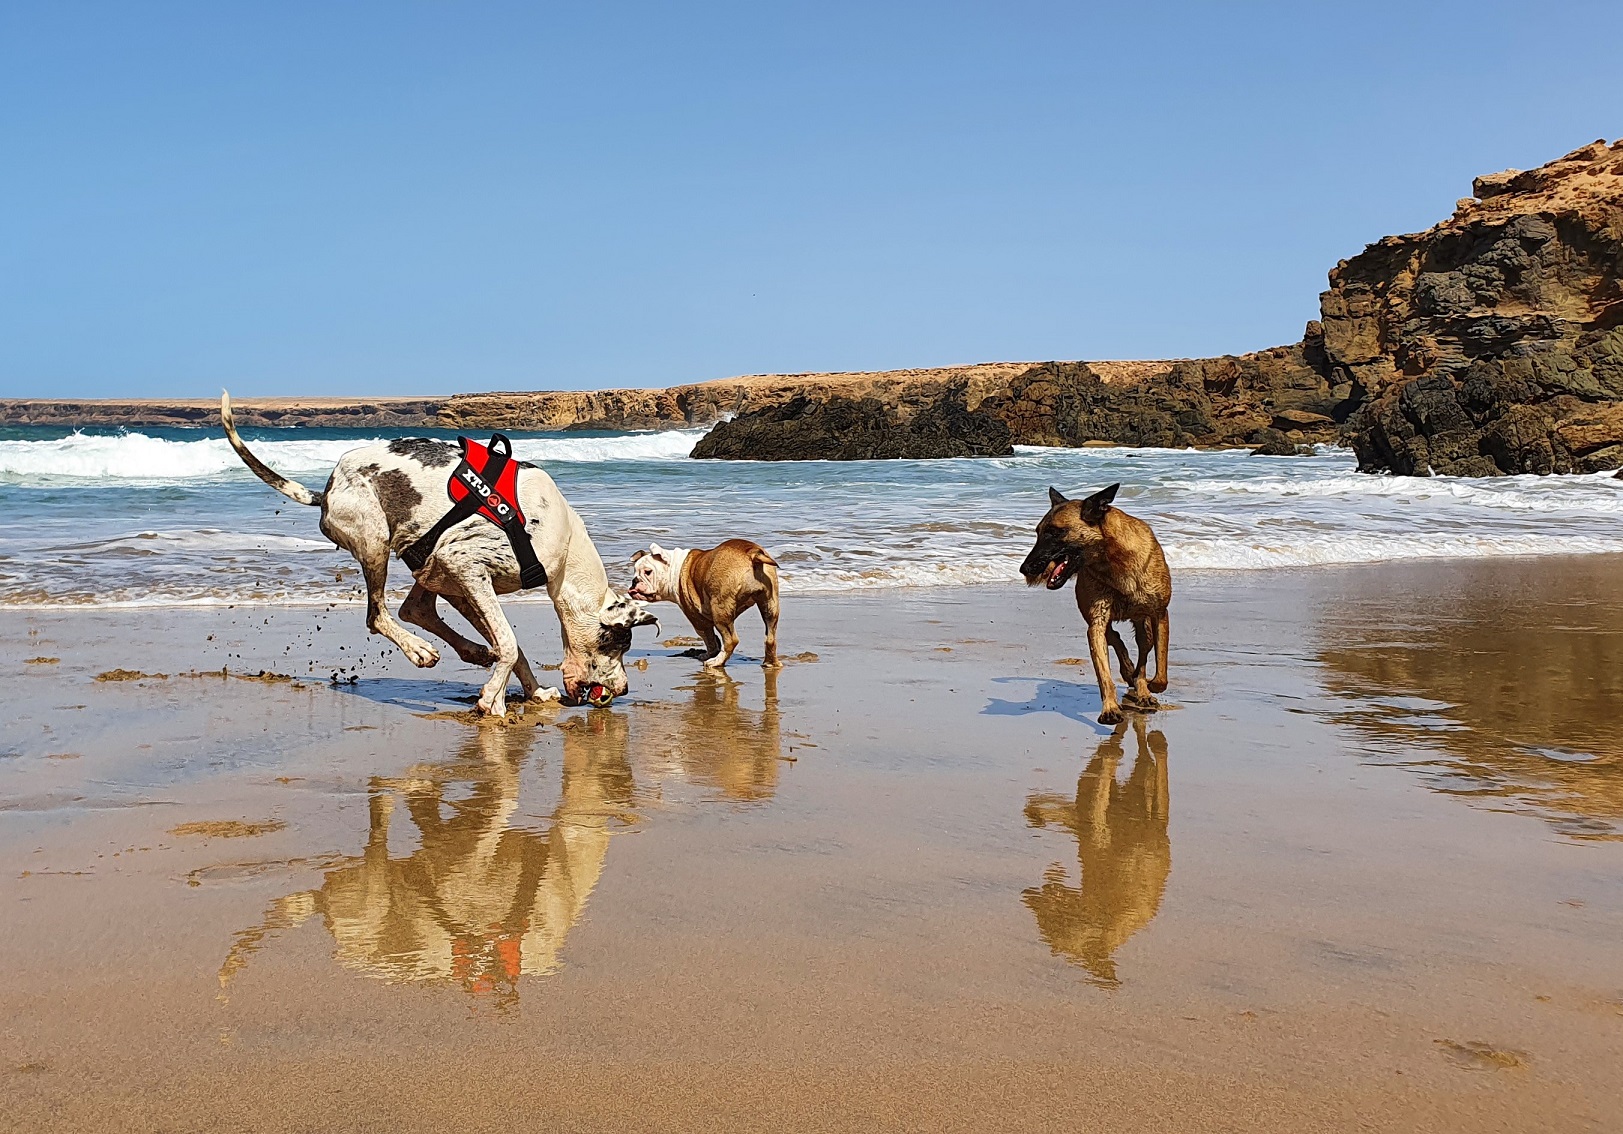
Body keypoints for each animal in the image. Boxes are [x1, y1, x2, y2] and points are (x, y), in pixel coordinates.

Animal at [219, 390, 655, 710]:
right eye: (619, 643)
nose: (625, 690)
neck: (563, 550)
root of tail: (327, 488)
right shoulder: (467, 566)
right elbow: (508, 643)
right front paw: (492, 698)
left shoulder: (464, 580)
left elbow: (511, 646)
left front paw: (527, 691)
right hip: (378, 543)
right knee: (378, 615)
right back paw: (419, 650)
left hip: (430, 568)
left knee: (415, 609)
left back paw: (472, 651)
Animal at [1019, 483, 1175, 723]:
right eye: (1038, 532)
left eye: (1055, 532)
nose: (1025, 568)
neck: (1114, 562)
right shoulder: (1096, 624)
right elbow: (1104, 674)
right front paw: (1110, 708)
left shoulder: (1159, 614)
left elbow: (1161, 670)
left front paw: (1147, 686)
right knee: (1116, 638)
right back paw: (1128, 672)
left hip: (1145, 625)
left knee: (1144, 649)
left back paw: (1141, 689)